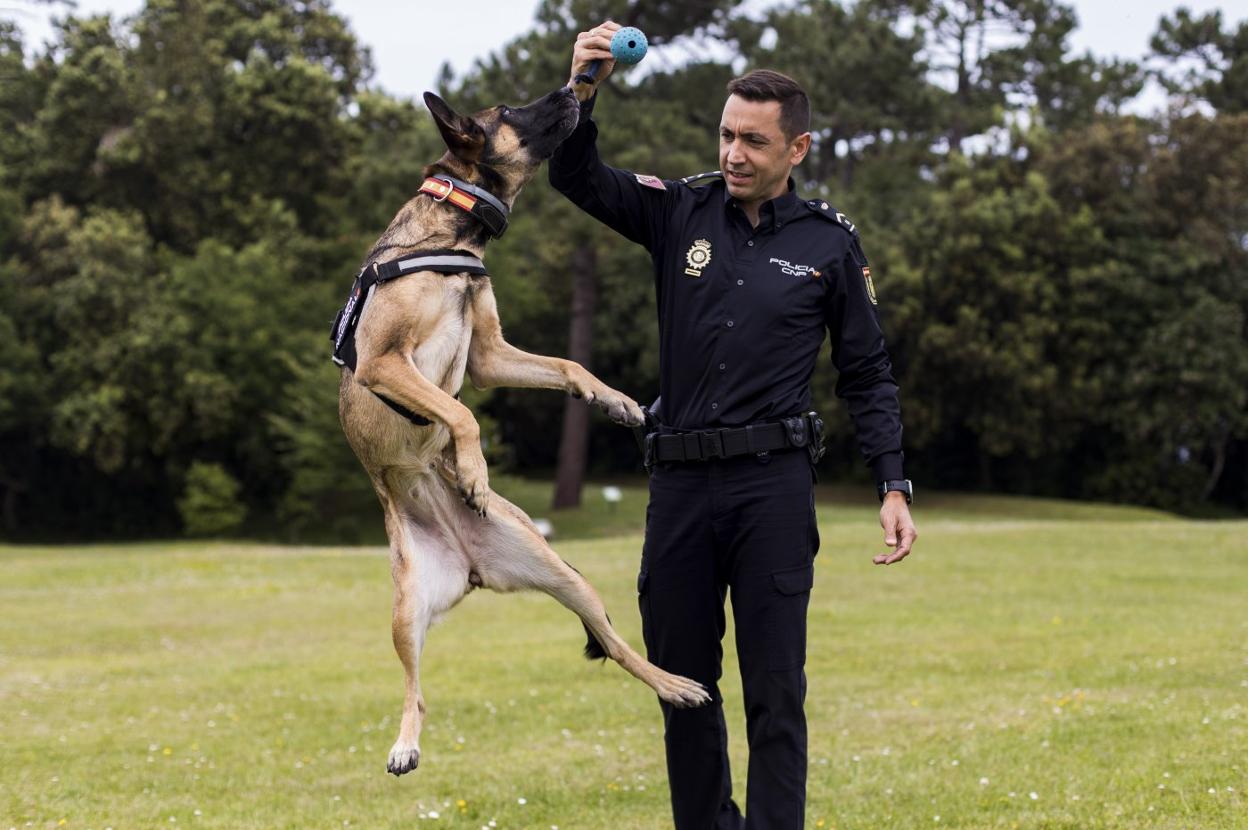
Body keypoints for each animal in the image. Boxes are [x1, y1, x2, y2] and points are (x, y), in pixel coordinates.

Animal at [336, 87, 713, 773]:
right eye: (509, 111)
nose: (571, 91)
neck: (451, 229)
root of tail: (468, 568)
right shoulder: (383, 361)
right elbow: (459, 412)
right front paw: (475, 473)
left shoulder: (487, 355)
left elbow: (566, 366)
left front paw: (615, 400)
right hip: (404, 611)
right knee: (415, 691)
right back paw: (404, 744)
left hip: (565, 575)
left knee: (616, 645)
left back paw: (675, 684)